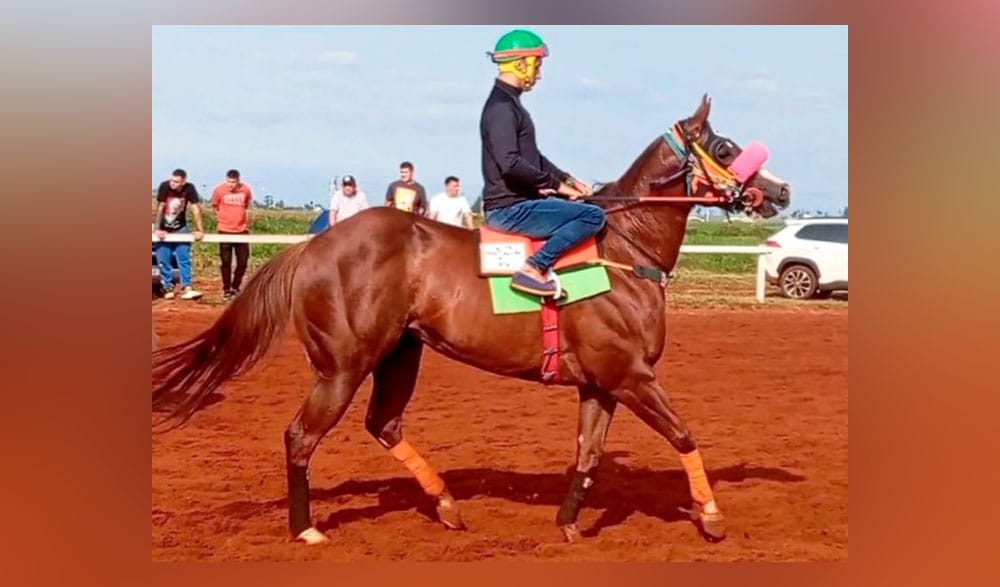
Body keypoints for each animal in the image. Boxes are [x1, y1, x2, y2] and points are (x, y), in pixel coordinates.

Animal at [152, 94, 791, 546]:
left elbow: (588, 455)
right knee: (301, 436)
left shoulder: (600, 384)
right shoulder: (629, 374)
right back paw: (305, 527)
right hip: (342, 366)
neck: (624, 250)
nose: (781, 192)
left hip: (400, 353)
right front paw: (711, 515)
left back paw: (446, 504)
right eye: (727, 147)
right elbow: (684, 434)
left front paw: (568, 522)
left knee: (384, 424)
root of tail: (314, 245)